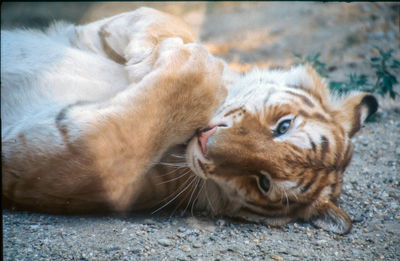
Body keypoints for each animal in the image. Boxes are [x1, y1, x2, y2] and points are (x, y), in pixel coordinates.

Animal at [1, 7, 376, 234]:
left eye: (263, 182)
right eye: (283, 126)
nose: (207, 142)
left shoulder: (73, 169)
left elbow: (123, 133)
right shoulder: (85, 34)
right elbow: (163, 19)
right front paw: (153, 55)